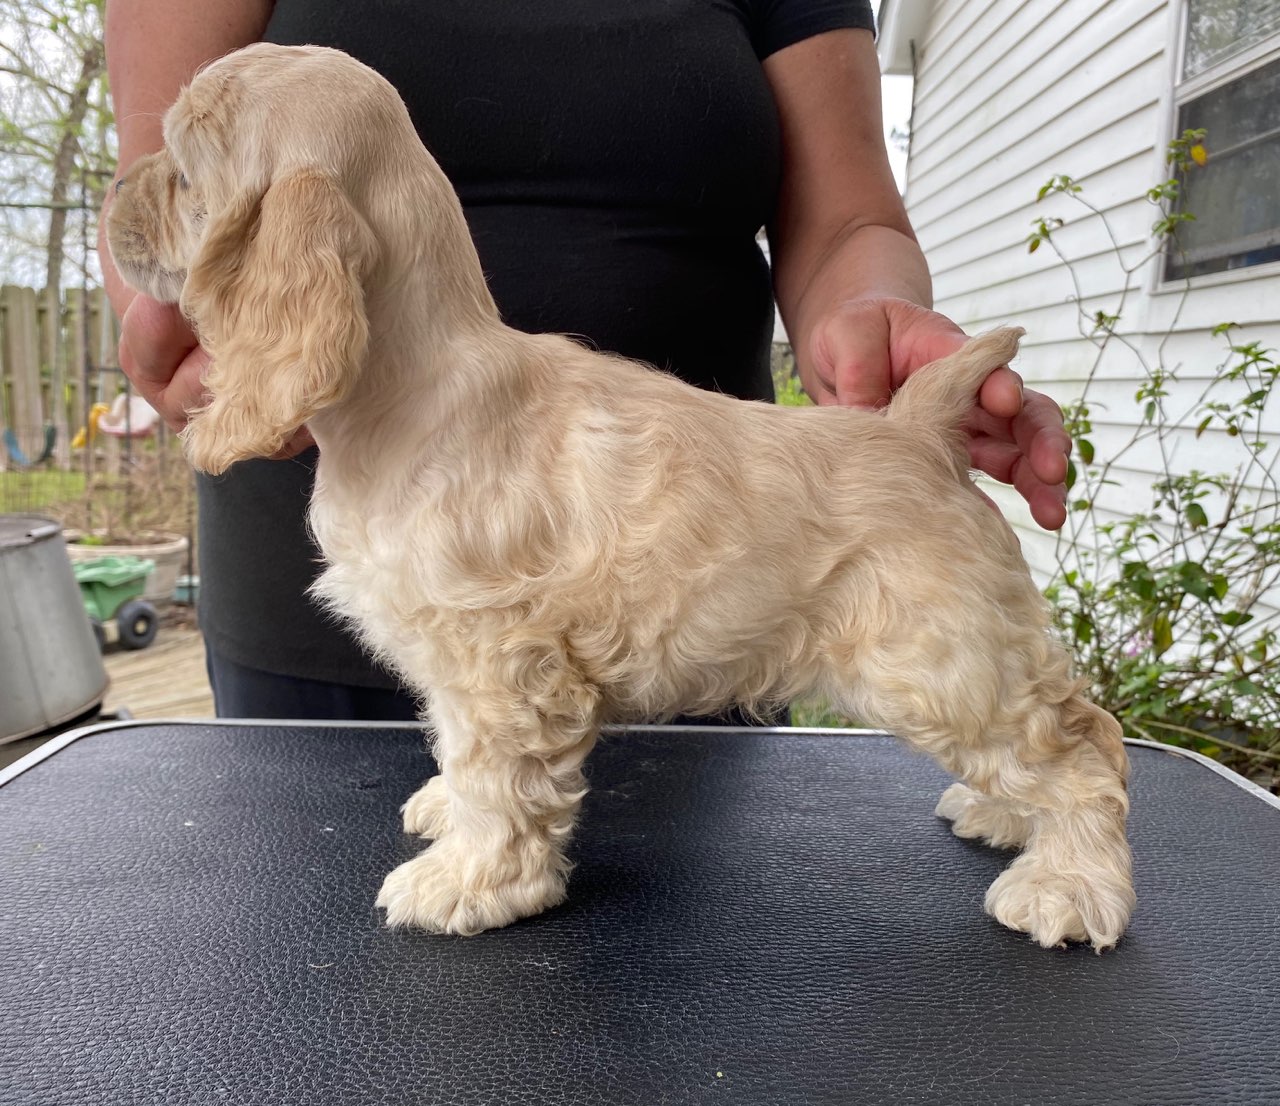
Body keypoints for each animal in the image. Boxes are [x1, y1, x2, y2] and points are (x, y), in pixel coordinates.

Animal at [104, 45, 1136, 952]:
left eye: (186, 173)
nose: (115, 194)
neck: (413, 388)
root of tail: (918, 430)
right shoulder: (457, 661)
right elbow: (456, 755)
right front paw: (446, 815)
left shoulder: (503, 665)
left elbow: (499, 784)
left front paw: (469, 881)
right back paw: (1005, 816)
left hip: (937, 666)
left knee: (1085, 747)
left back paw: (1071, 885)